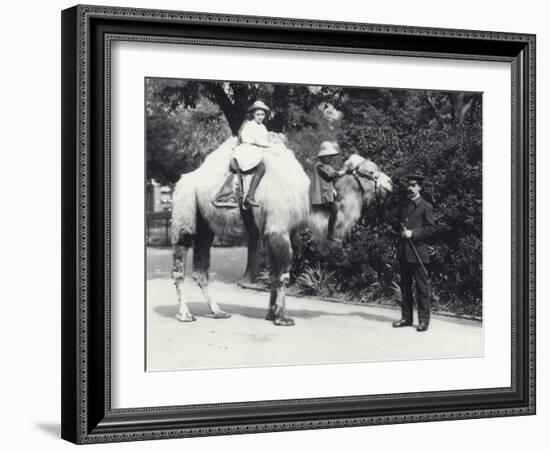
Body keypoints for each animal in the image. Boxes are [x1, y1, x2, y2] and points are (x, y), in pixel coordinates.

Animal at [171, 135, 392, 326]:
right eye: (370, 171)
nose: (390, 183)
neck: (305, 200)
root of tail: (183, 180)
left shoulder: (284, 234)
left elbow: (274, 275)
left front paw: (271, 314)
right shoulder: (278, 231)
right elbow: (284, 275)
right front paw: (282, 318)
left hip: (205, 226)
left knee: (201, 270)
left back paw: (218, 312)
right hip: (185, 210)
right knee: (180, 263)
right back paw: (185, 314)